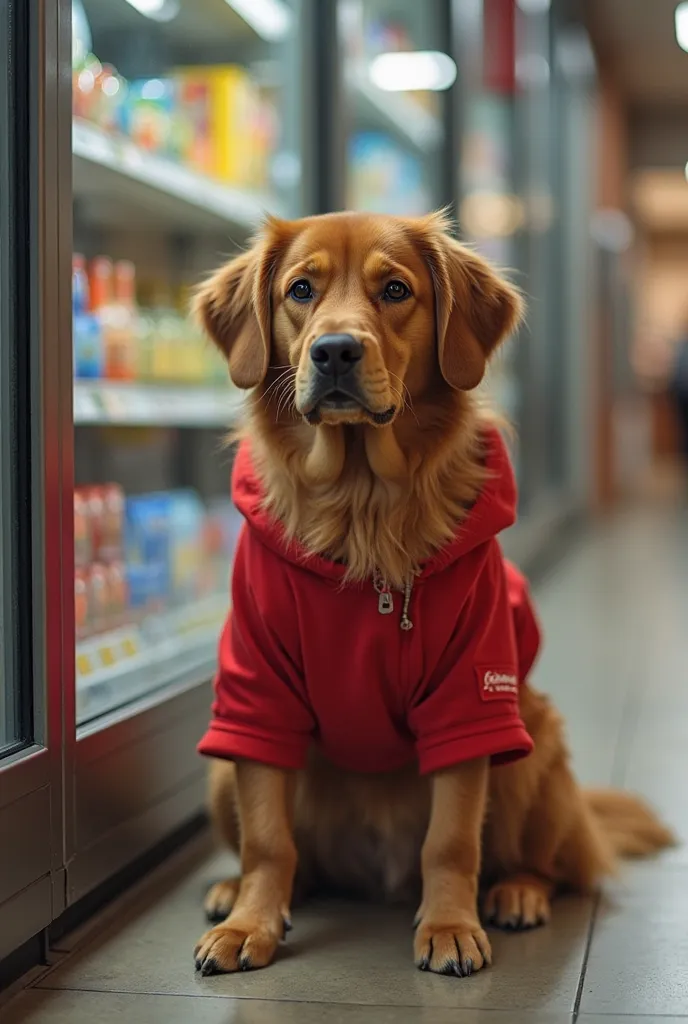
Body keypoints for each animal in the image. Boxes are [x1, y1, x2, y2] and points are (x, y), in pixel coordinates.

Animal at [190, 205, 675, 974]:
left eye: (395, 290)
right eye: (300, 290)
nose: (334, 351)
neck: (361, 505)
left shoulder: (471, 696)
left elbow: (450, 839)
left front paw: (449, 925)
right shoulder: (253, 696)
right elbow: (269, 838)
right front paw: (249, 924)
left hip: (531, 735)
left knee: (554, 865)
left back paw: (517, 893)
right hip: (219, 774)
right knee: (294, 858)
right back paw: (235, 888)